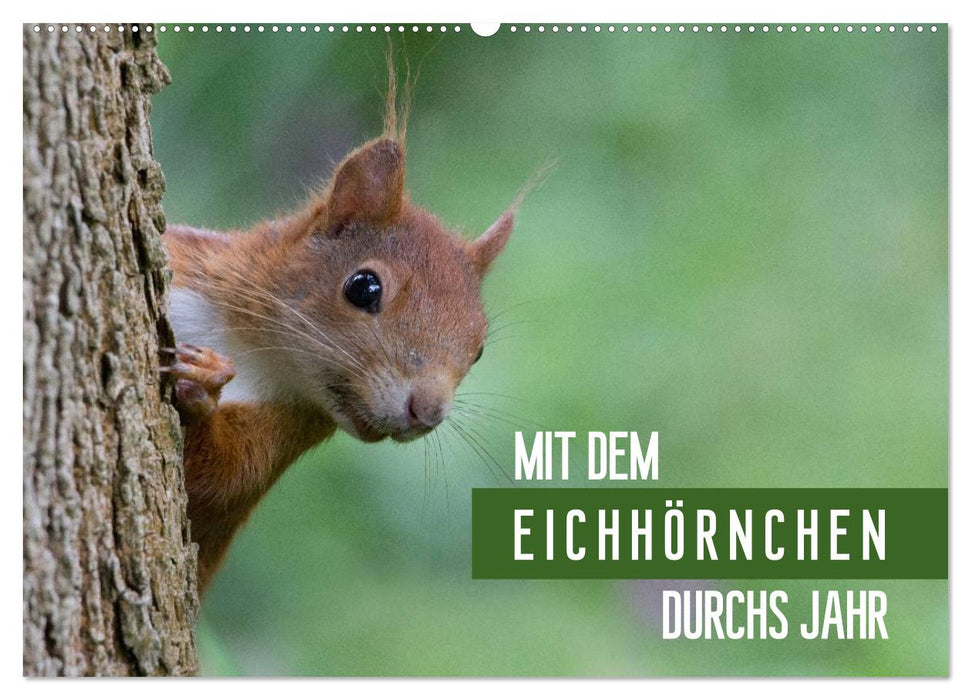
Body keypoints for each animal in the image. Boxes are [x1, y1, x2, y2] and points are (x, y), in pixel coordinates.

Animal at [162, 66, 520, 594]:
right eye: (364, 287)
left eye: (478, 350)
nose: (428, 412)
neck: (248, 346)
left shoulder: (282, 432)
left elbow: (216, 480)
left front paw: (203, 387)